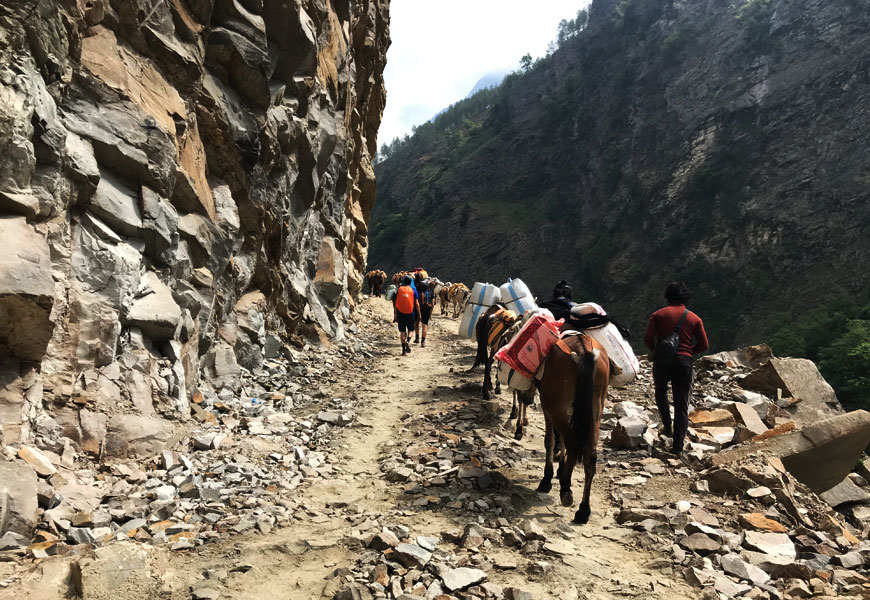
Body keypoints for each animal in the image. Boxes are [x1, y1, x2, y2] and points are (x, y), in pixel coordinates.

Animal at [536, 332, 608, 524]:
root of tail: (585, 351)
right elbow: (560, 439)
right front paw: (559, 469)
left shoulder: (547, 406)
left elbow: (550, 440)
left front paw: (548, 477)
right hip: (596, 408)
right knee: (590, 455)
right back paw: (583, 511)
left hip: (556, 405)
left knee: (573, 445)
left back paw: (565, 491)